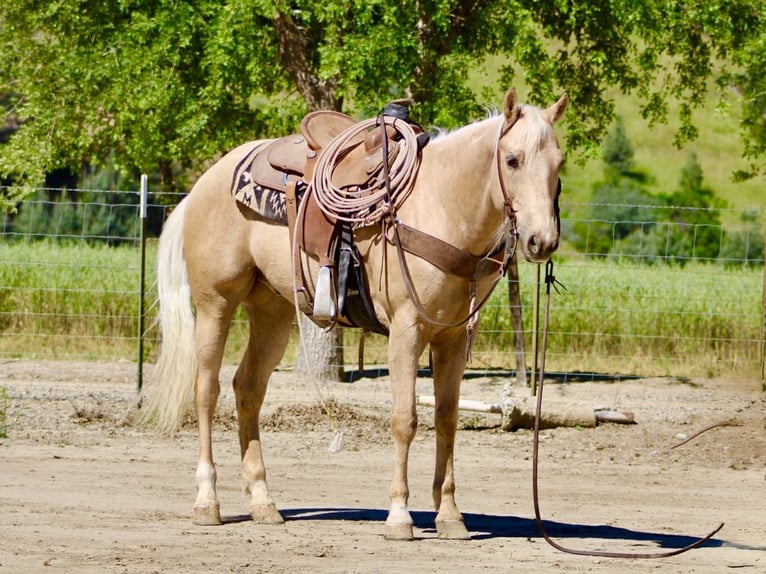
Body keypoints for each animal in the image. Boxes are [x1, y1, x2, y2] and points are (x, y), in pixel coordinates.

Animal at [141, 87, 568, 541]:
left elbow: (447, 419)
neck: (441, 206)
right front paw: (399, 515)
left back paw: (263, 502)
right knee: (206, 390)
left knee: (248, 388)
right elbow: (405, 419)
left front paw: (450, 516)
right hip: (215, 304)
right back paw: (208, 501)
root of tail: (202, 185)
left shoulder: (451, 338)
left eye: (559, 163)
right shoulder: (406, 331)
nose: (542, 241)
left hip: (271, 312)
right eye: (513, 159)